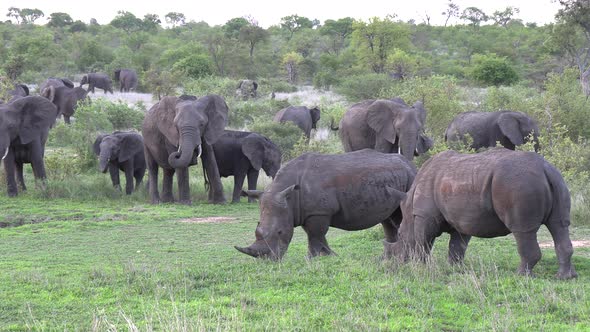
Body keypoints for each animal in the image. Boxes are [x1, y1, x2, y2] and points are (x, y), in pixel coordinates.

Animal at [236, 149, 416, 260]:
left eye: (280, 232)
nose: (268, 260)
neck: (289, 195)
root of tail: (409, 163)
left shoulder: (319, 212)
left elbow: (316, 235)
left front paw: (313, 258)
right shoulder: (304, 211)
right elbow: (314, 235)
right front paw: (328, 256)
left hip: (410, 178)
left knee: (399, 216)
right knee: (388, 219)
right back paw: (386, 255)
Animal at [384, 148, 580, 280]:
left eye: (400, 234)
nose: (398, 262)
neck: (409, 204)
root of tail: (545, 169)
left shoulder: (424, 216)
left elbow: (423, 241)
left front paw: (420, 266)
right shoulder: (461, 218)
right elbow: (457, 246)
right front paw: (454, 268)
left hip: (518, 184)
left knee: (523, 231)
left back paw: (520, 275)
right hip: (557, 181)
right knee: (559, 225)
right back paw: (565, 277)